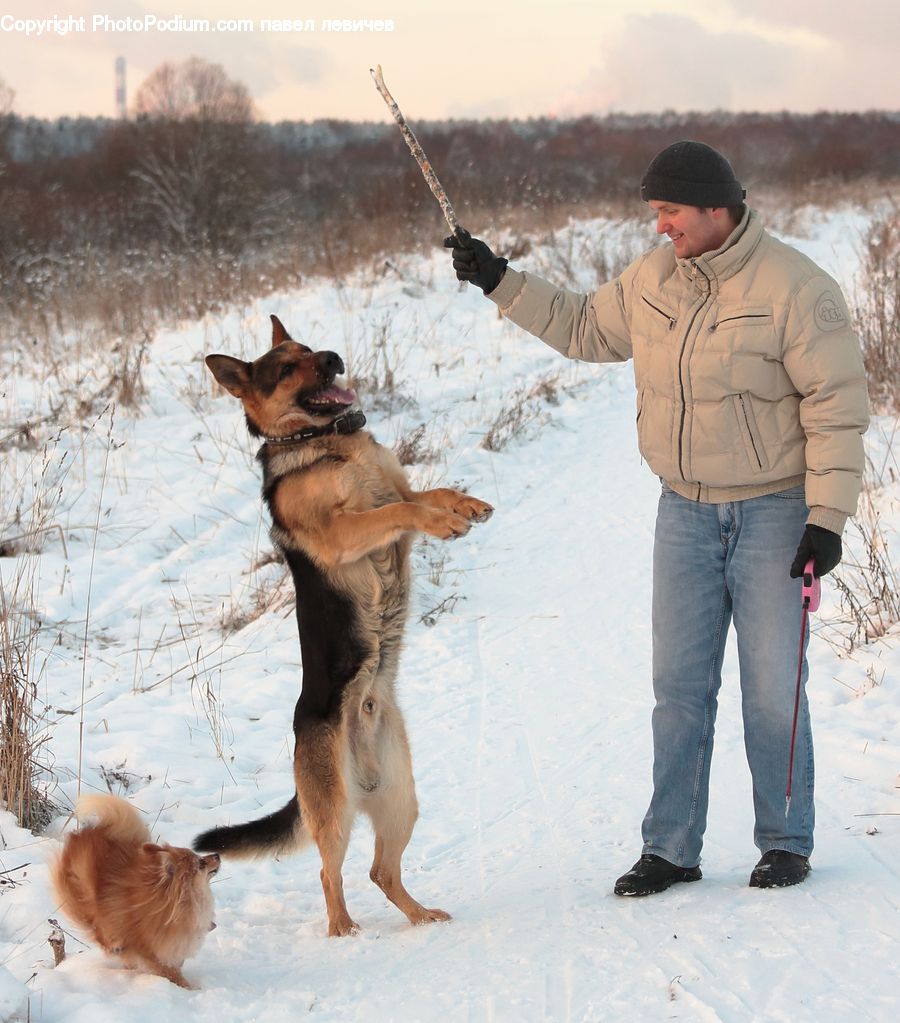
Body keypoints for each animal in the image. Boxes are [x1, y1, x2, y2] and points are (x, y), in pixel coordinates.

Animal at [52, 793, 221, 986]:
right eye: (201, 863)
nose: (217, 854)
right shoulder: (152, 951)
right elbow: (170, 973)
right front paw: (188, 988)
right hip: (83, 896)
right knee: (97, 927)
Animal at [195, 315, 492, 937]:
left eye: (309, 349)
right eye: (287, 367)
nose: (333, 357)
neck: (322, 441)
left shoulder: (397, 487)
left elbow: (423, 492)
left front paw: (464, 504)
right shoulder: (342, 532)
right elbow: (398, 509)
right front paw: (444, 521)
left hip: (402, 800)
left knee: (382, 871)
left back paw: (421, 916)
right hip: (334, 810)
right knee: (329, 873)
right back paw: (343, 930)